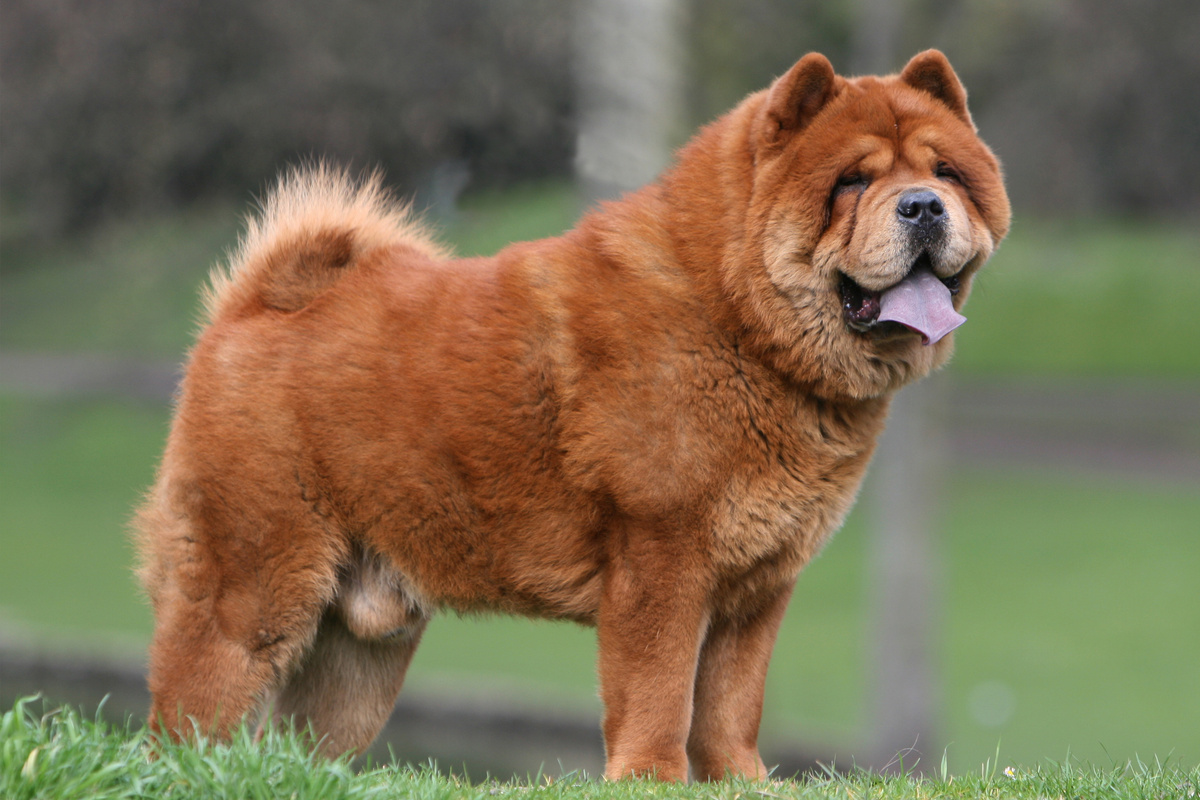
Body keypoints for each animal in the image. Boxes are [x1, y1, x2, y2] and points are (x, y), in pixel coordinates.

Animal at [136, 50, 1008, 782]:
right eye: (853, 182)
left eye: (946, 173)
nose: (924, 206)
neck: (734, 316)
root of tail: (252, 308)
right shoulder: (661, 557)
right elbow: (660, 691)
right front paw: (652, 779)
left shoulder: (760, 585)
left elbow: (732, 702)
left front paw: (741, 781)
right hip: (249, 592)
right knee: (187, 717)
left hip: (362, 650)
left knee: (305, 739)